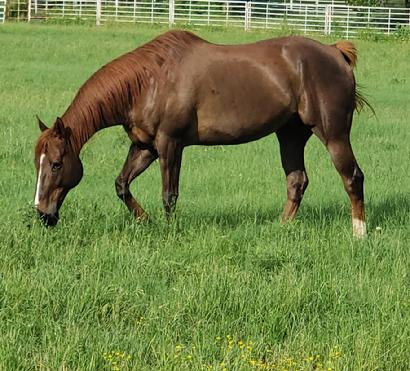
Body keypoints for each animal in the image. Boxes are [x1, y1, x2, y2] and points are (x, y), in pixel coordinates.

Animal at [33, 30, 370, 237]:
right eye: (37, 164)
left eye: (56, 164)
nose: (42, 214)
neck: (148, 82)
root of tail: (335, 52)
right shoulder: (145, 146)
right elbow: (121, 185)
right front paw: (145, 221)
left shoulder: (170, 144)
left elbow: (169, 194)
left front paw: (168, 230)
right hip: (290, 135)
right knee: (297, 181)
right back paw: (281, 227)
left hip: (333, 134)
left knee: (352, 177)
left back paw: (359, 233)